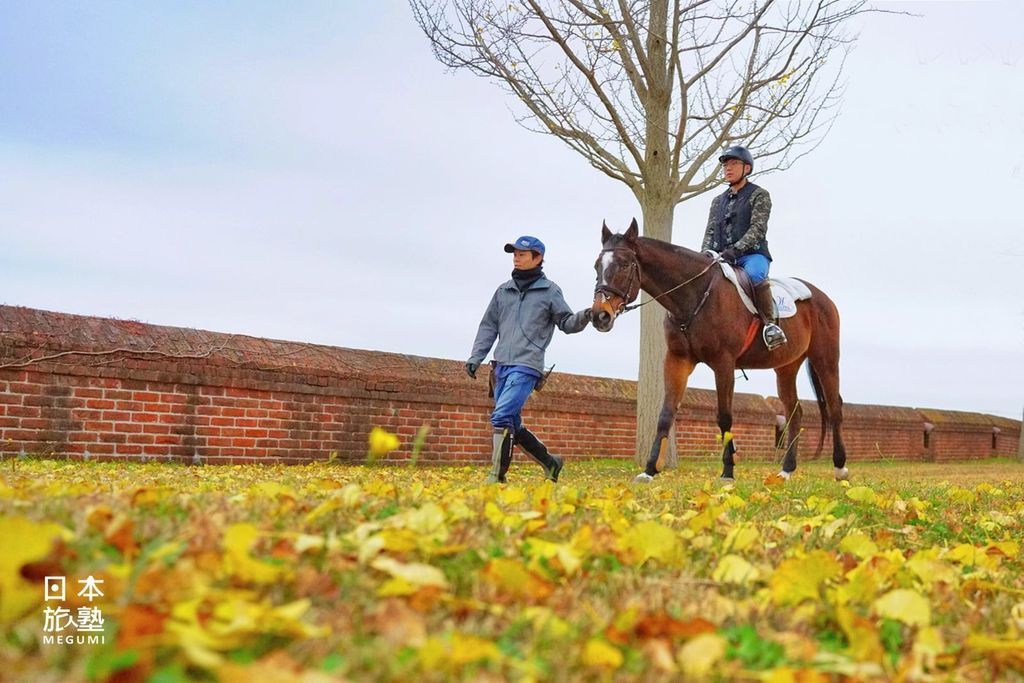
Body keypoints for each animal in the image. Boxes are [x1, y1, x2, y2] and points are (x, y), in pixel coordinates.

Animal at [593, 222, 847, 483]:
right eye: (597, 266)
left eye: (624, 264)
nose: (600, 315)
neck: (695, 294)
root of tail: (822, 297)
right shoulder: (677, 361)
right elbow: (666, 414)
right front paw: (649, 470)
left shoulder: (723, 363)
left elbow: (724, 417)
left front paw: (728, 471)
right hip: (786, 367)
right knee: (795, 413)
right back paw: (786, 470)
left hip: (825, 360)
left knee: (835, 408)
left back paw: (840, 468)